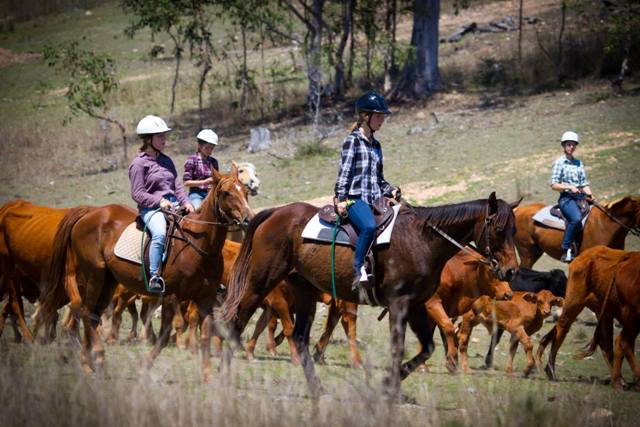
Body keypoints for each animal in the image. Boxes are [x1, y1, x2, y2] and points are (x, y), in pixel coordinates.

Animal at [42, 166, 252, 380]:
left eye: (245, 190)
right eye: (226, 193)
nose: (248, 219)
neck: (197, 245)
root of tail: (89, 213)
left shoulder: (206, 298)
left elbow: (205, 335)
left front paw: (208, 375)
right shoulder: (171, 296)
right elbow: (165, 334)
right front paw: (146, 366)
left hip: (107, 282)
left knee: (92, 315)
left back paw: (87, 362)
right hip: (94, 276)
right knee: (86, 312)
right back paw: (97, 359)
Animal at [224, 192, 520, 400]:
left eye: (514, 231)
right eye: (498, 229)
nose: (511, 271)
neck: (422, 240)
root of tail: (275, 213)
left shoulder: (416, 305)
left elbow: (426, 348)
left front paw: (390, 385)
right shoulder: (399, 304)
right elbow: (399, 347)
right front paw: (388, 388)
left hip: (304, 290)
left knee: (299, 337)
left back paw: (317, 389)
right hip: (260, 281)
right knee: (237, 320)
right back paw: (224, 377)